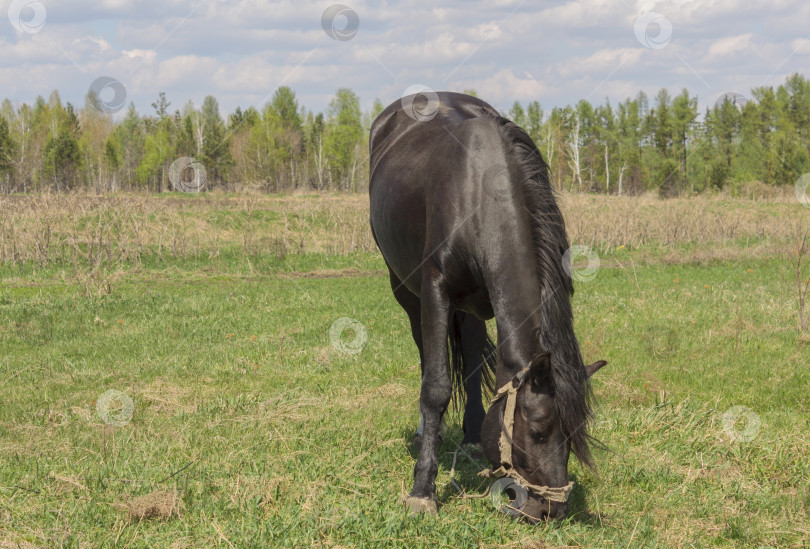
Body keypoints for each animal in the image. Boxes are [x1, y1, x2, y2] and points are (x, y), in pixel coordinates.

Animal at [370, 92, 604, 520]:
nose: (553, 509)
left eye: (573, 435)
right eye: (538, 431)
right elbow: (436, 386)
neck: (475, 192)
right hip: (405, 289)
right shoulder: (435, 293)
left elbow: (477, 365)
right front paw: (422, 490)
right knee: (426, 353)